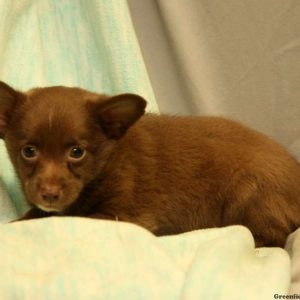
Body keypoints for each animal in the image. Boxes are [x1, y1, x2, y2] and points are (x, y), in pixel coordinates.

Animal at [0, 81, 300, 246]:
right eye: (28, 151)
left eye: (77, 152)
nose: (49, 194)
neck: (107, 165)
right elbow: (32, 215)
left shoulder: (125, 216)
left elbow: (67, 217)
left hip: (252, 192)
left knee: (272, 237)